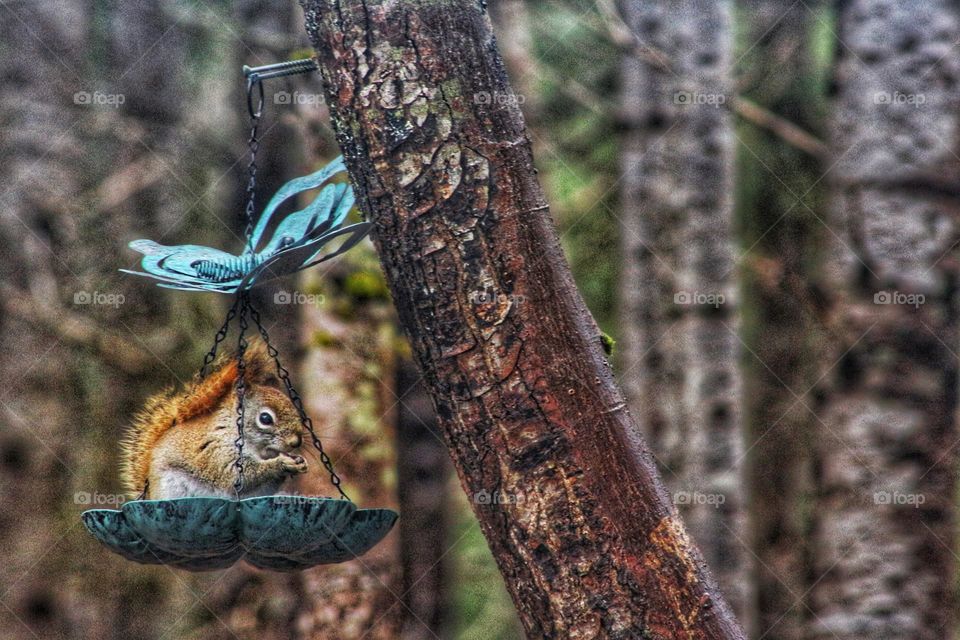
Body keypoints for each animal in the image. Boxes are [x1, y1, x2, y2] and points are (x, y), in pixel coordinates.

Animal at [120, 341, 308, 500]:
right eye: (265, 418)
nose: (295, 442)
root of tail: (149, 495)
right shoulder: (215, 450)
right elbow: (235, 475)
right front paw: (282, 463)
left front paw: (299, 462)